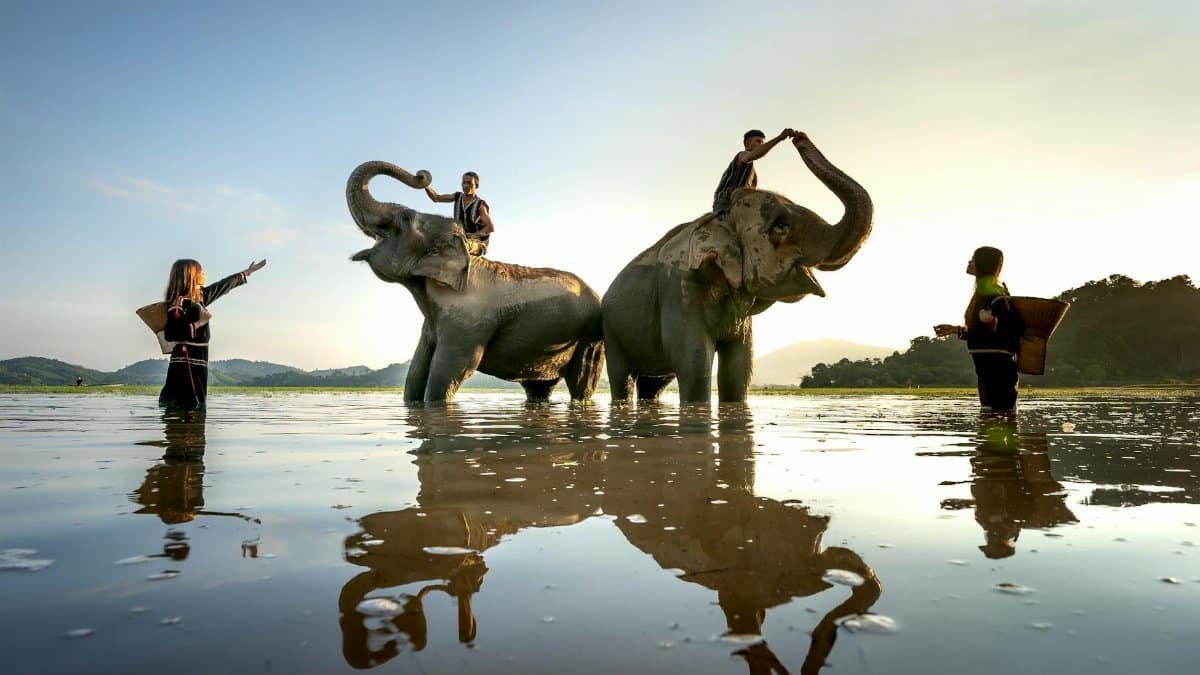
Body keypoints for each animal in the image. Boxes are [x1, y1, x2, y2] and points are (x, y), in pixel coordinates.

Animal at [347, 161, 605, 404]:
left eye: (406, 218)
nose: (421, 175)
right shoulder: (433, 323)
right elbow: (416, 372)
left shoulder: (468, 320)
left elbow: (452, 370)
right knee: (538, 388)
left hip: (589, 337)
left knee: (582, 383)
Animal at [601, 134, 873, 404]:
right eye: (780, 226)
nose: (799, 137)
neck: (719, 220)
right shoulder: (678, 289)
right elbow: (695, 361)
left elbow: (740, 366)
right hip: (611, 333)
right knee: (621, 376)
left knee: (653, 384)